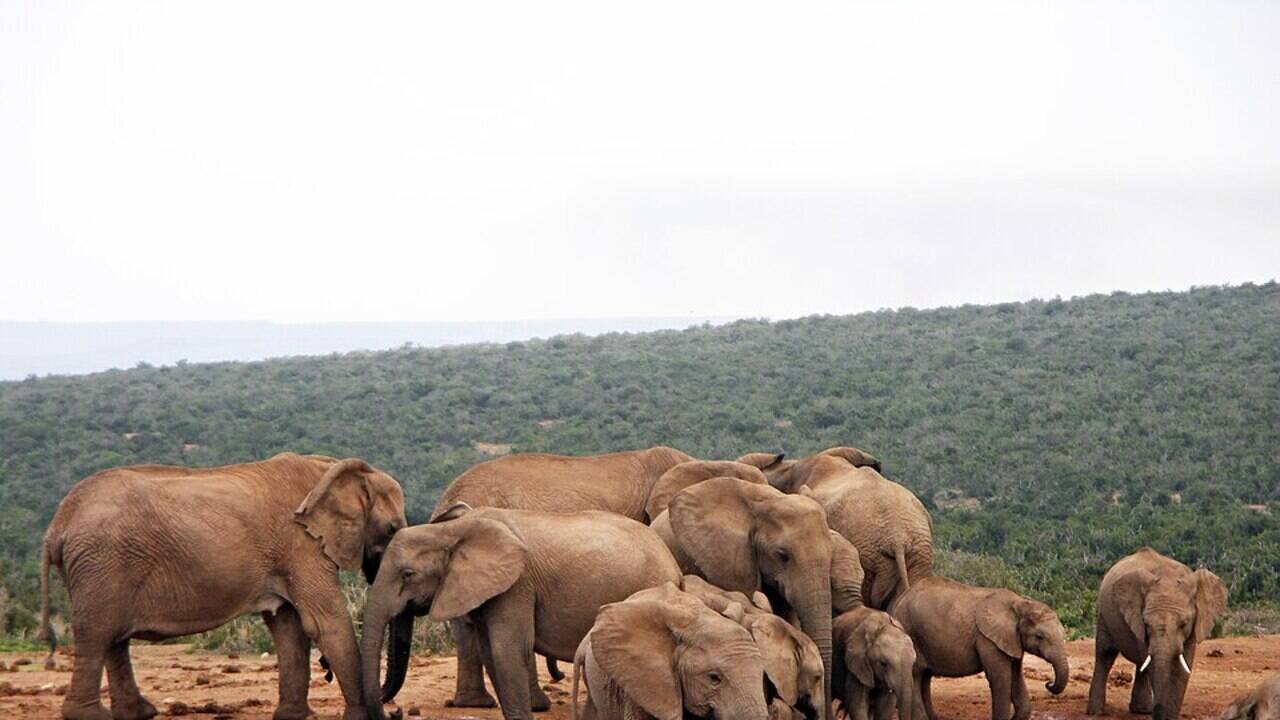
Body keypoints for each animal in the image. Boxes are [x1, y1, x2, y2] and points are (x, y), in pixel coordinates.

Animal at [36, 453, 407, 720]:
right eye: (392, 529)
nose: (395, 711)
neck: (327, 469)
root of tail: (57, 525)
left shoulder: (287, 553)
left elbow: (288, 627)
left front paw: (293, 716)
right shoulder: (301, 544)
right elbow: (324, 621)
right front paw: (360, 718)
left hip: (102, 567)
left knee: (113, 637)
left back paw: (138, 714)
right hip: (102, 562)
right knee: (98, 632)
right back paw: (91, 716)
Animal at [360, 502, 682, 720]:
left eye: (408, 574)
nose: (396, 711)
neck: (452, 530)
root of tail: (674, 566)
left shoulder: (517, 584)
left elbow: (507, 649)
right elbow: (490, 650)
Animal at [891, 576, 1069, 720]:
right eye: (1039, 637)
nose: (1048, 683)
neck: (1019, 603)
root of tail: (900, 599)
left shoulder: (1011, 641)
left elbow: (1016, 677)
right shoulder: (988, 640)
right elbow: (1000, 678)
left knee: (925, 677)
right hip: (910, 631)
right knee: (916, 675)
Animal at [1087, 547, 1229, 720]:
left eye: (1184, 624)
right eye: (1147, 624)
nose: (1159, 712)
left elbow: (1182, 667)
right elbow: (1154, 665)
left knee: (1139, 663)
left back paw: (1141, 711)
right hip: (1103, 615)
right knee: (1105, 655)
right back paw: (1095, 713)